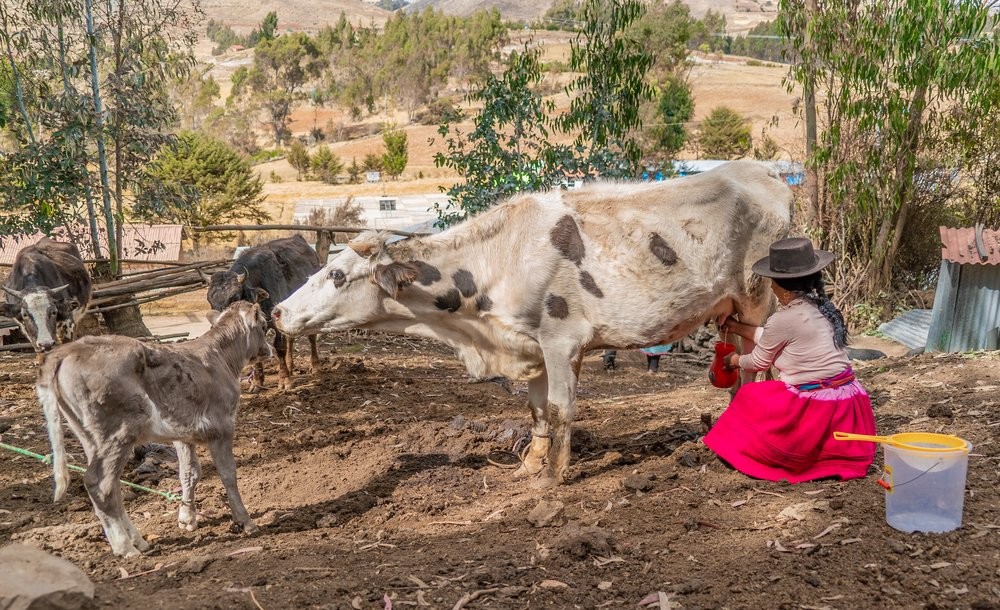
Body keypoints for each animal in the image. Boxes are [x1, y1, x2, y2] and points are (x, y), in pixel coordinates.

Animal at [36, 300, 272, 556]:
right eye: (264, 324)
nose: (268, 349)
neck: (222, 358)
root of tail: (68, 351)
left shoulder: (184, 433)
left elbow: (189, 472)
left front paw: (187, 518)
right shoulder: (222, 426)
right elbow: (228, 473)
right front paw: (246, 522)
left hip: (89, 435)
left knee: (113, 484)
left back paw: (139, 541)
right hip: (120, 430)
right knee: (98, 482)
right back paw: (124, 546)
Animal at [207, 234, 320, 390]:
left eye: (234, 297)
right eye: (209, 300)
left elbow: (279, 347)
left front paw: (285, 380)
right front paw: (257, 382)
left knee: (311, 337)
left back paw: (315, 366)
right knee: (290, 338)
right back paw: (290, 366)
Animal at [272, 160, 788, 484]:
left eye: (337, 274)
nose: (277, 311)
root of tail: (759, 170)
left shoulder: (563, 341)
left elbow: (560, 409)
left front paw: (553, 478)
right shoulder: (533, 347)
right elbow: (537, 410)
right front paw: (530, 467)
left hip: (756, 300)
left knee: (753, 369)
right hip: (732, 313)